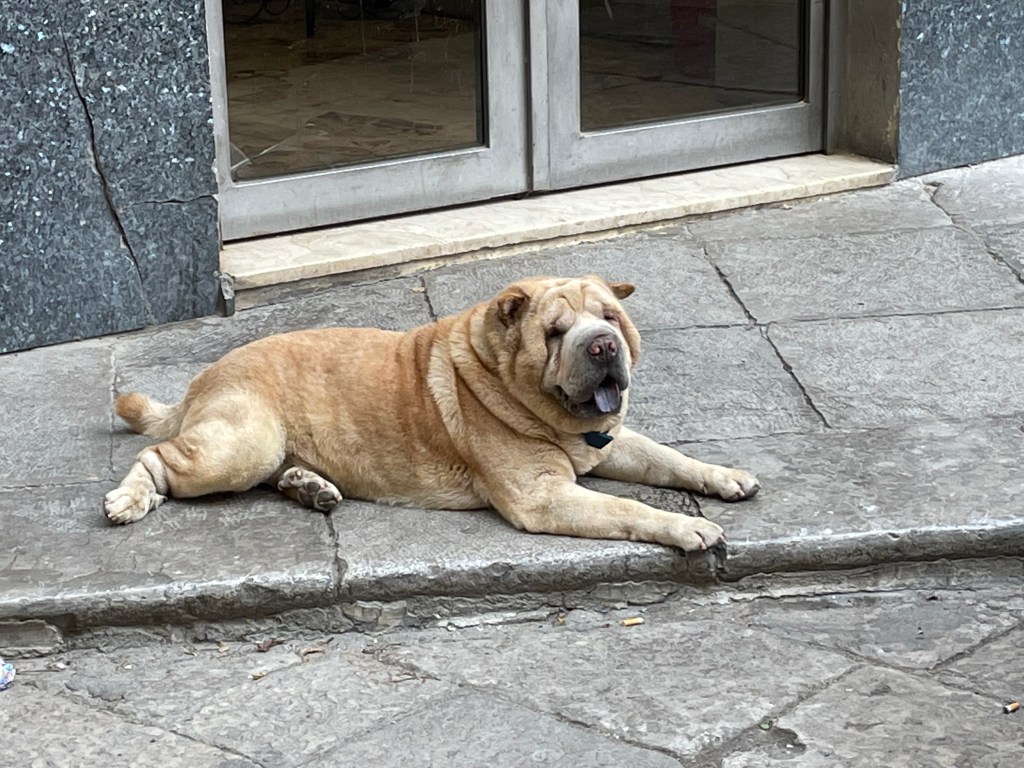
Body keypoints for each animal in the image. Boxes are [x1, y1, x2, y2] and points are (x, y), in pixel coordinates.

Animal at [105, 276, 759, 552]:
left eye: (610, 317)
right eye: (555, 333)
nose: (602, 345)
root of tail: (203, 376)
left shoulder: (607, 442)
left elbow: (667, 459)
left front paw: (725, 477)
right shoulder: (542, 496)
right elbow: (629, 508)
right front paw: (687, 528)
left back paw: (310, 486)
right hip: (242, 444)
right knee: (156, 455)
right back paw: (130, 499)